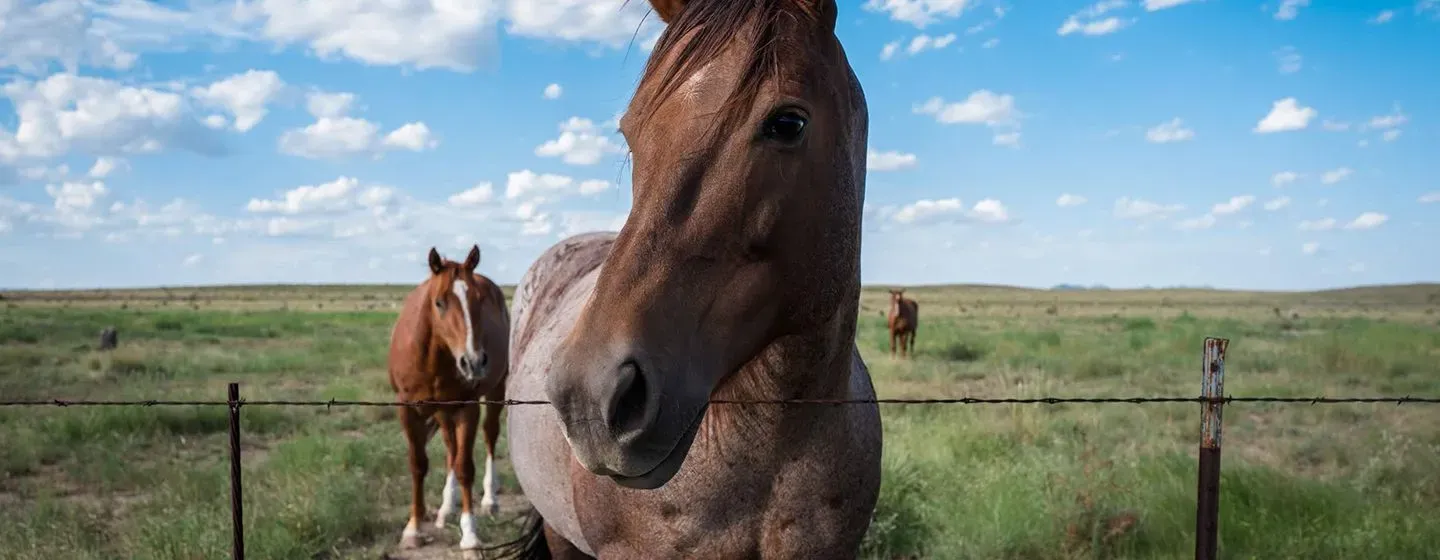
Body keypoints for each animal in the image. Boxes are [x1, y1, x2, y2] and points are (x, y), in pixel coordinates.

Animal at [388, 246, 512, 549]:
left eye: (479, 300)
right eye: (439, 303)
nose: (474, 362)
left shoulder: (468, 407)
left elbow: (466, 467)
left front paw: (470, 535)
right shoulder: (407, 409)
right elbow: (418, 464)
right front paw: (413, 528)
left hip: (494, 393)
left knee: (489, 435)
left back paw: (489, 500)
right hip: (443, 411)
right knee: (450, 448)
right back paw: (446, 507)